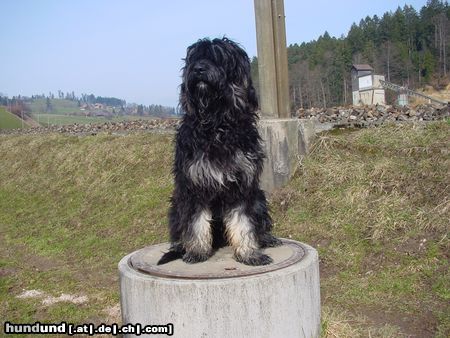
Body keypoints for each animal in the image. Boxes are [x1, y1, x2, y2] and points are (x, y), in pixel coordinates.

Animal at [156, 36, 280, 264]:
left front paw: (249, 253)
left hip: (259, 198)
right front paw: (196, 252)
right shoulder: (193, 185)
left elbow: (243, 222)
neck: (217, 124)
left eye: (218, 58)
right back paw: (180, 247)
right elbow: (196, 222)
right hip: (176, 204)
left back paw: (266, 238)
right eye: (195, 58)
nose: (198, 69)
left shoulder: (242, 186)